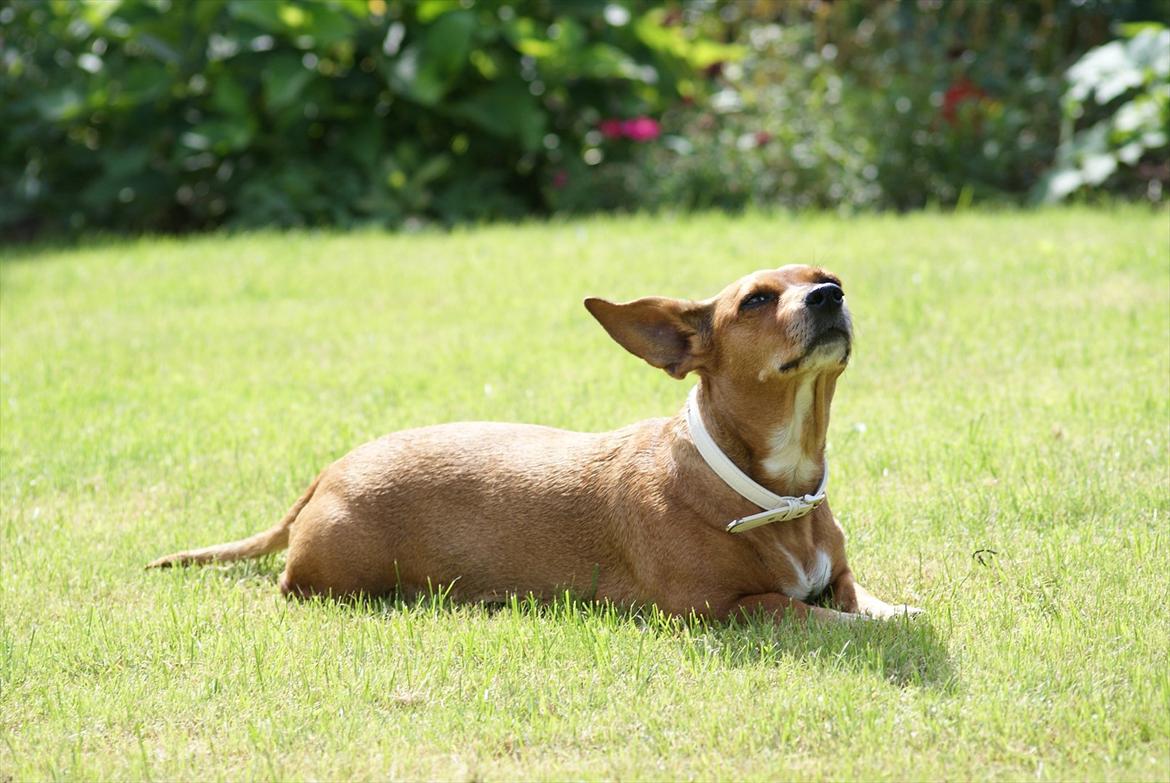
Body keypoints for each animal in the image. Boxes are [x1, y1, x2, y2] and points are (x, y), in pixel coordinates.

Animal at [150, 265, 921, 617]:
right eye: (756, 300)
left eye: (828, 277)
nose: (829, 295)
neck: (773, 491)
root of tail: (330, 469)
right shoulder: (726, 610)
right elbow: (815, 614)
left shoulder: (838, 577)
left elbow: (862, 597)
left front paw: (896, 610)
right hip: (341, 573)